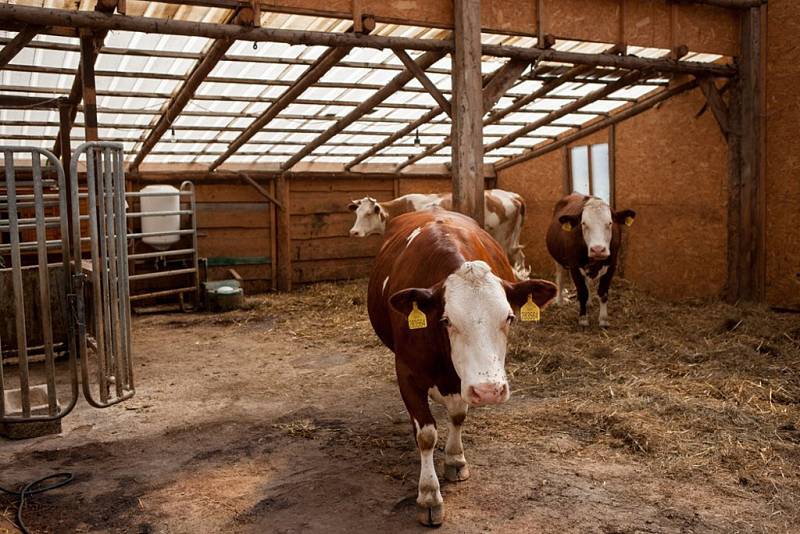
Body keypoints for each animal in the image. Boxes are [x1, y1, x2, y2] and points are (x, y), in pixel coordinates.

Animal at [368, 208, 556, 528]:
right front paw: (429, 495)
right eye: (446, 320)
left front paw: (455, 459)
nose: (489, 390)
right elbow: (426, 434)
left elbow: (457, 416)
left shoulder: (463, 383)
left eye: (510, 317)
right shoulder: (406, 373)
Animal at [548, 193, 636, 326]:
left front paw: (603, 319)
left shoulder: (612, 265)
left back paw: (589, 302)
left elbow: (603, 292)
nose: (598, 249)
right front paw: (583, 319)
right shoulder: (574, 266)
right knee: (560, 278)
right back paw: (559, 301)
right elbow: (582, 292)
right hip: (558, 260)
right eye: (583, 223)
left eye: (610, 223)